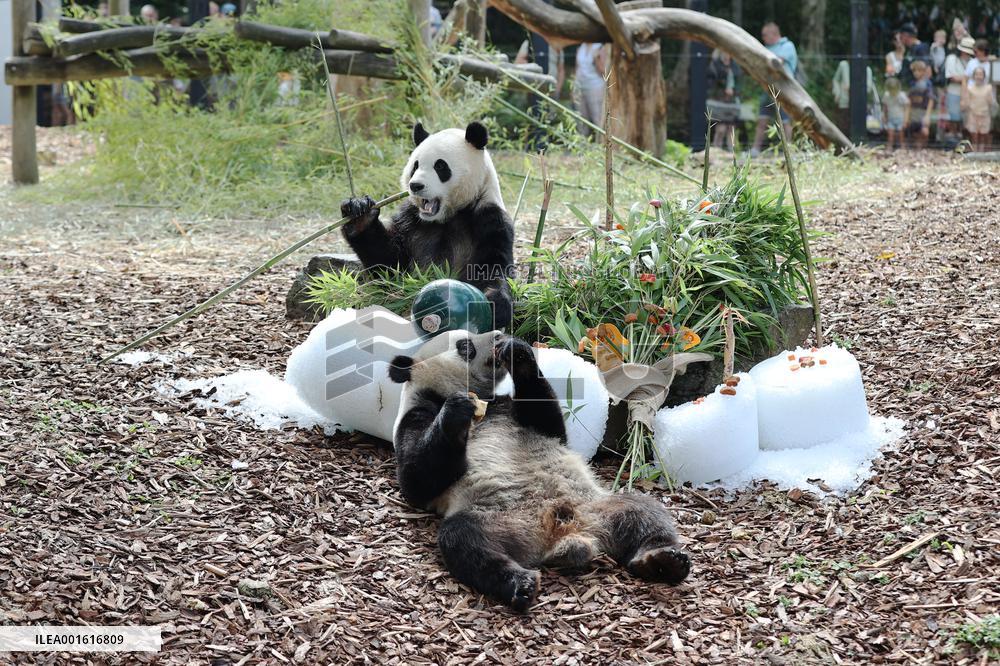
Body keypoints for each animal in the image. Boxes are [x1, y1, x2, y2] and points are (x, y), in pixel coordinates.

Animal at [340, 121, 515, 329]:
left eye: (440, 166)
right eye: (415, 165)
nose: (415, 185)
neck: (447, 216)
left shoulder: (488, 218)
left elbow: (492, 265)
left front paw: (494, 303)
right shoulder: (410, 220)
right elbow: (389, 265)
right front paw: (360, 214)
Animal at [388, 330, 691, 612]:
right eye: (465, 345)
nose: (498, 336)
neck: (484, 402)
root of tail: (565, 533)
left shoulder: (513, 409)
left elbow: (549, 422)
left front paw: (517, 354)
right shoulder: (416, 416)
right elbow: (417, 480)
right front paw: (457, 410)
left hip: (598, 506)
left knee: (644, 512)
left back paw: (663, 561)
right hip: (499, 519)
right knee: (465, 541)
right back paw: (519, 583)